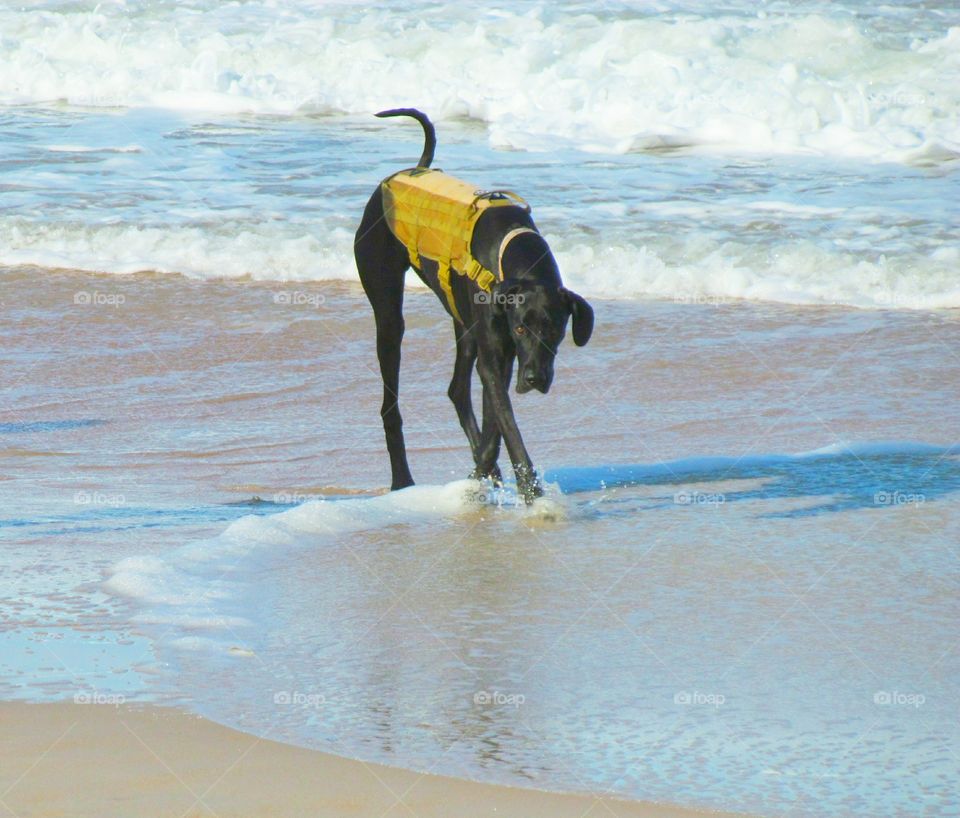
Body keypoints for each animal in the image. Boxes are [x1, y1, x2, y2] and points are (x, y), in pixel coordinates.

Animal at [354, 108, 592, 504]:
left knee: (456, 388)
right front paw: (530, 490)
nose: (534, 379)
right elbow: (507, 424)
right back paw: (402, 479)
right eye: (521, 327)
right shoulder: (498, 353)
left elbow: (495, 423)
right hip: (387, 309)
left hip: (462, 321)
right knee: (391, 401)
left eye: (556, 329)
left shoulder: (501, 354)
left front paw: (484, 471)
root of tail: (409, 170)